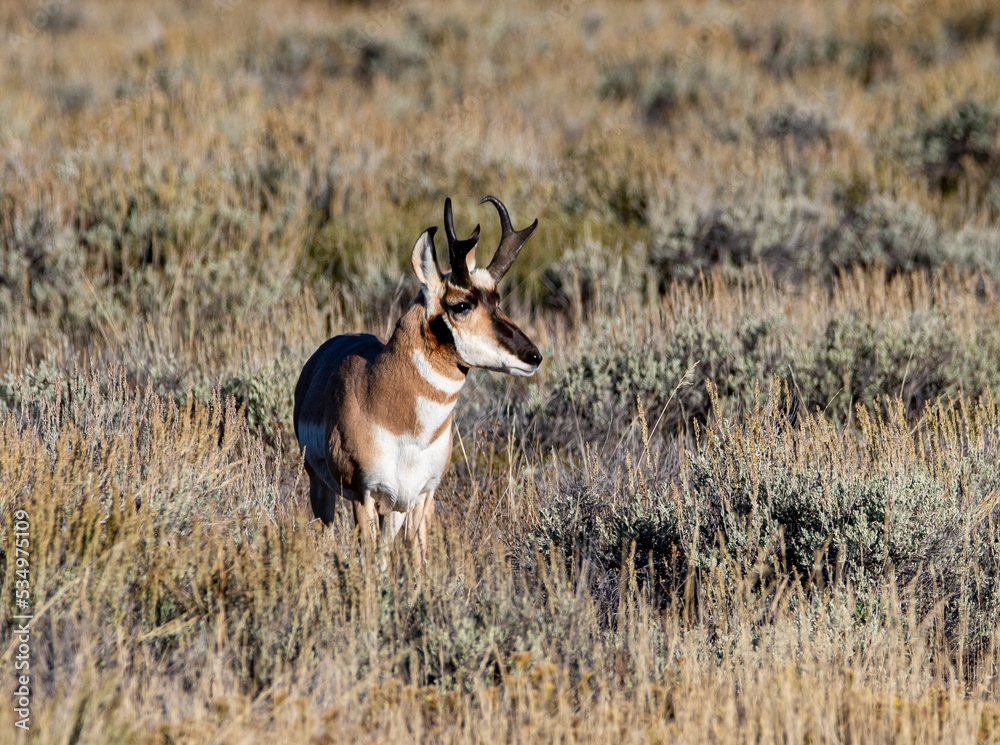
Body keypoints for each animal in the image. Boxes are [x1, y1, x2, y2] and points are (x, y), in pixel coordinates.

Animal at [293, 196, 542, 561]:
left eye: (496, 299)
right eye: (461, 304)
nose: (534, 356)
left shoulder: (423, 496)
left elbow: (418, 559)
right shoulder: (364, 496)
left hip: (396, 507)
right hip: (323, 489)